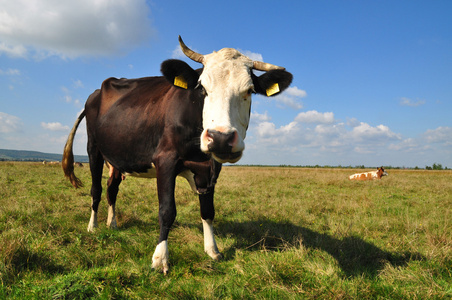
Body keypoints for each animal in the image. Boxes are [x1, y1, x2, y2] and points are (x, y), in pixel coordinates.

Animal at [61, 35, 294, 274]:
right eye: (202, 88)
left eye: (249, 91)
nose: (220, 138)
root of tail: (98, 91)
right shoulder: (165, 160)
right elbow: (167, 211)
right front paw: (160, 258)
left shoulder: (209, 169)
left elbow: (208, 211)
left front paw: (212, 250)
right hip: (94, 149)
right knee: (96, 189)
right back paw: (93, 226)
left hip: (118, 157)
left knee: (112, 189)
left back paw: (113, 223)